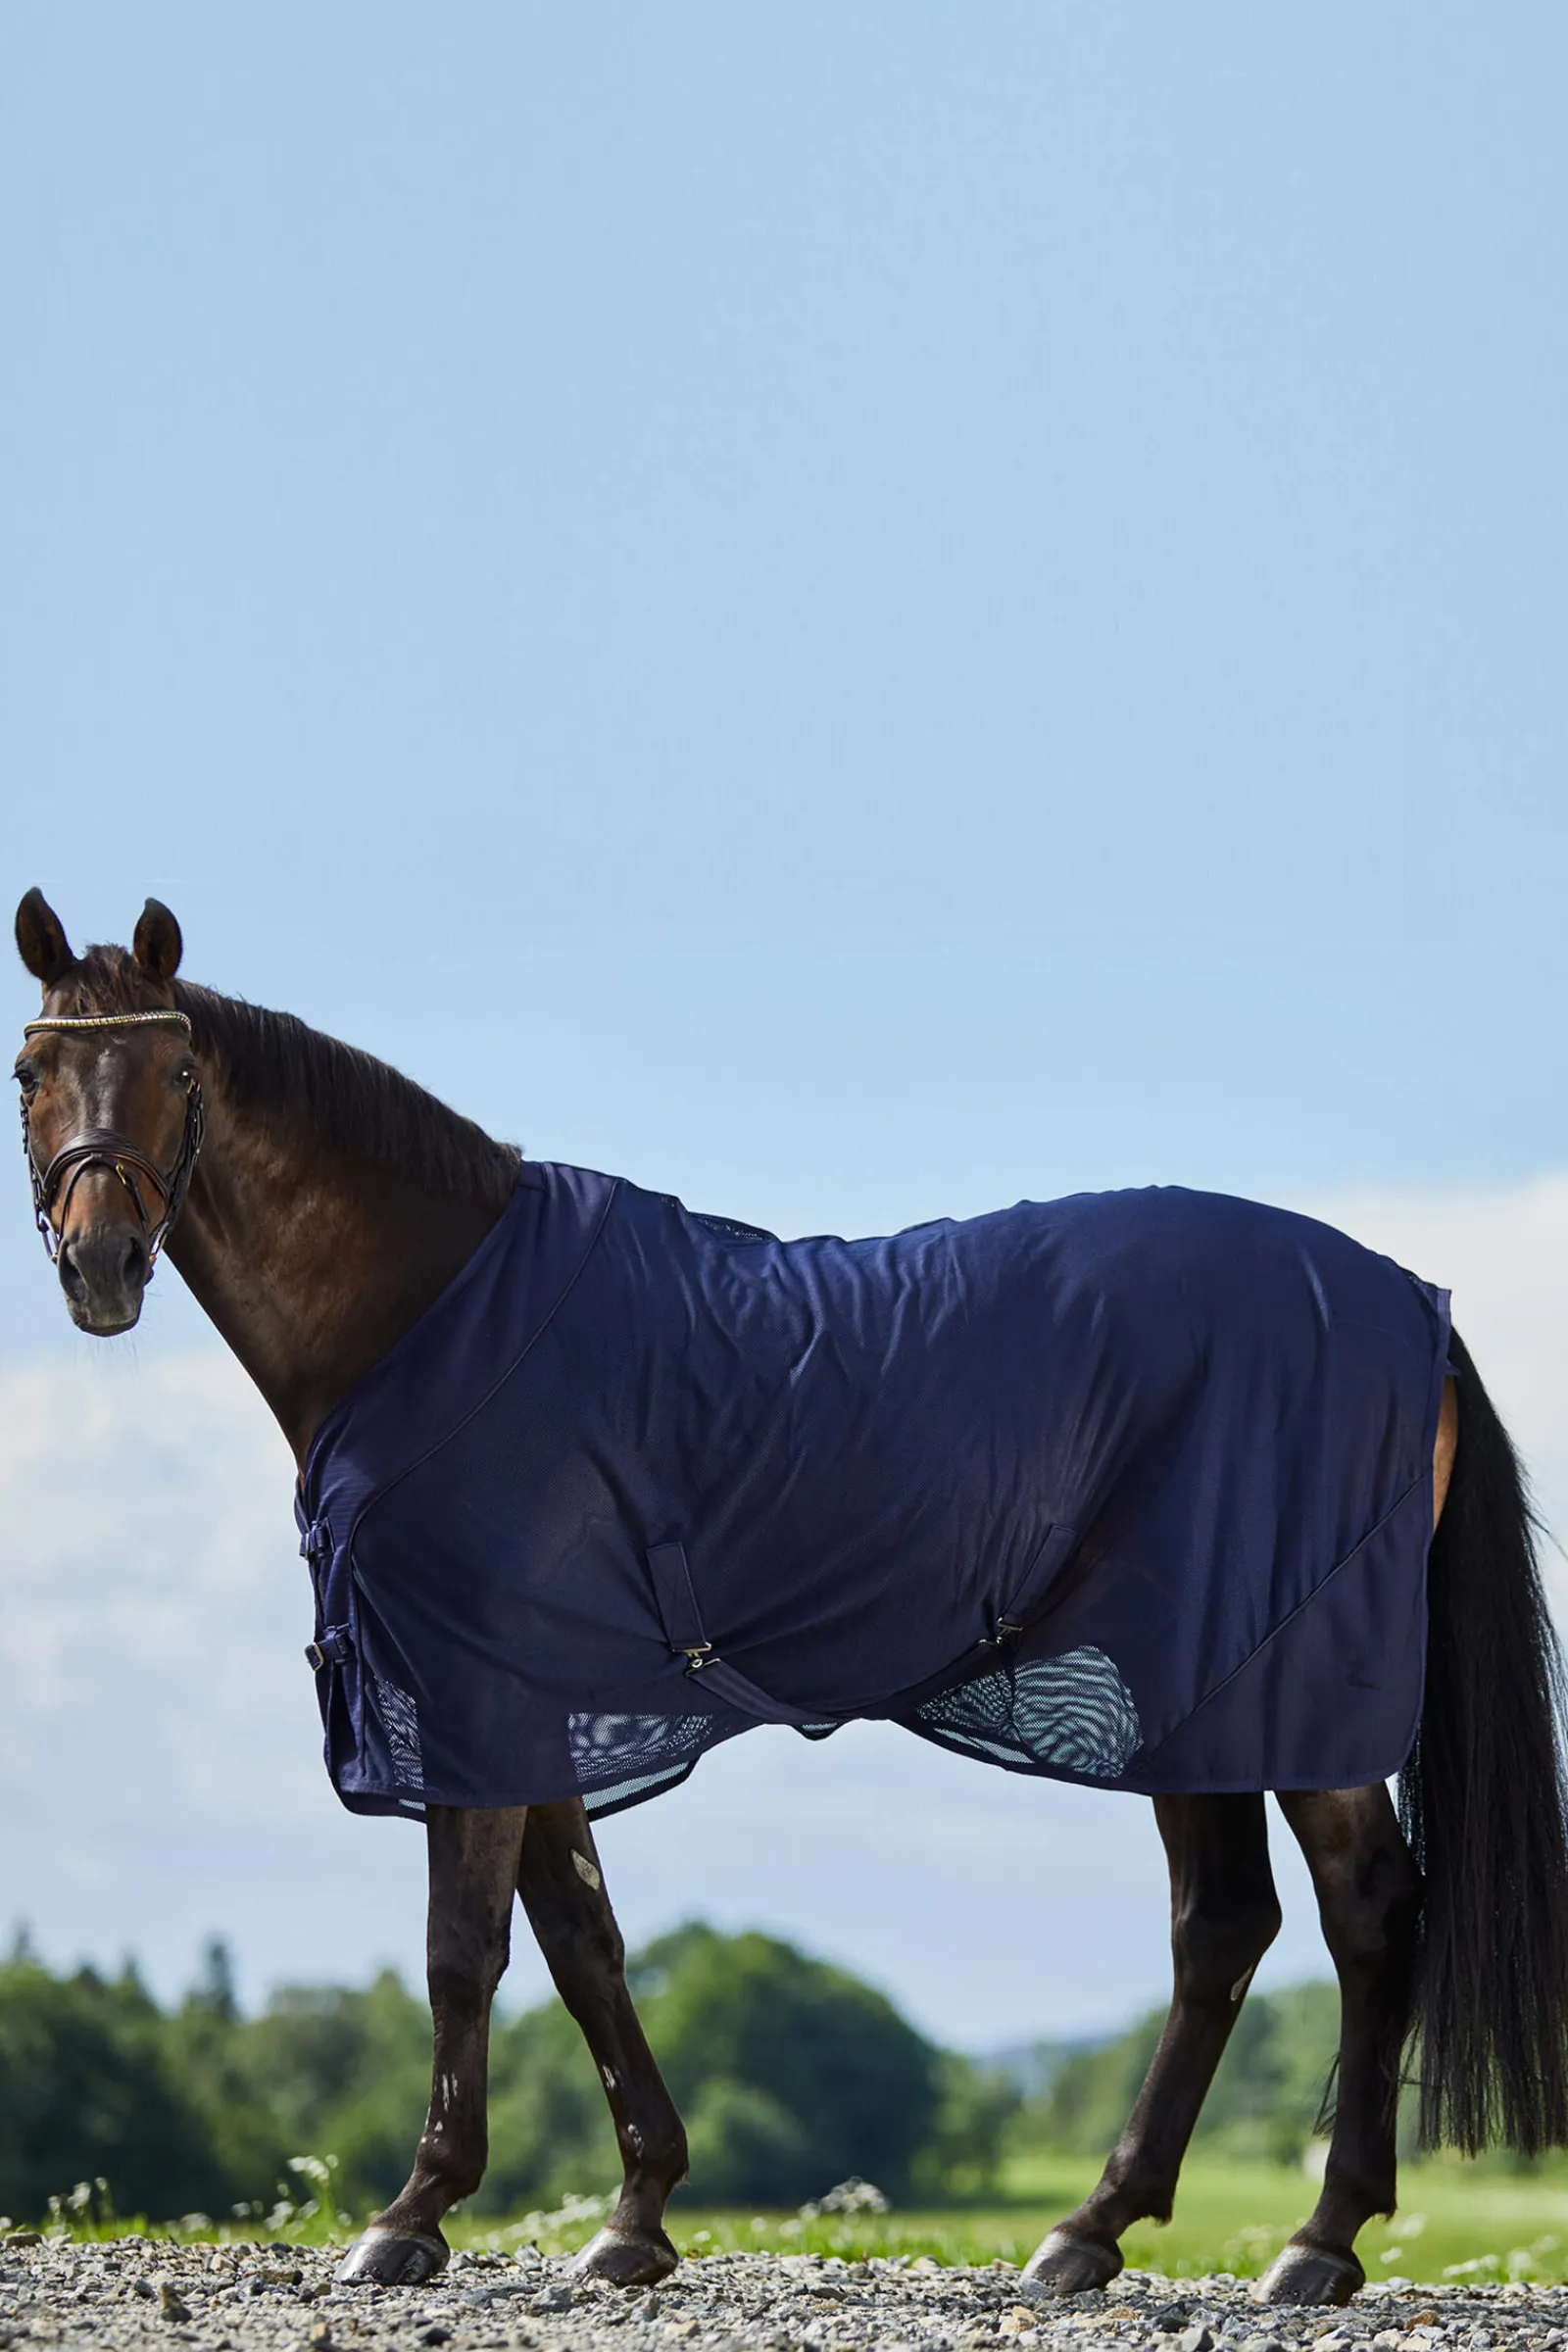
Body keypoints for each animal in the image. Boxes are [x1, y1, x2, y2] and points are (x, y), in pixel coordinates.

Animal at [13, 887, 1568, 2310]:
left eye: (173, 1076)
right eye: (31, 1073)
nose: (98, 1268)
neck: (435, 1312)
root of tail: (1409, 1304)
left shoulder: (470, 1696)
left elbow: (464, 1952)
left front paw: (412, 2215)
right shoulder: (534, 1711)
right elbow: (584, 1943)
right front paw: (636, 2214)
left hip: (1273, 1684)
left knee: (1363, 1916)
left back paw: (1313, 2241)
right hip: (1193, 1689)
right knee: (1225, 1928)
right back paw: (1096, 2229)